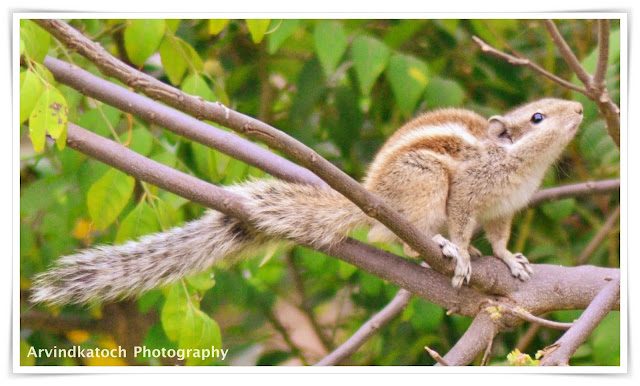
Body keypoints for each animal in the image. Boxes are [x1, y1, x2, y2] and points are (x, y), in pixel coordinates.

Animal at [31, 99, 584, 304]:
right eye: (537, 117)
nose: (580, 107)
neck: (519, 165)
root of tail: (370, 197)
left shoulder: (506, 209)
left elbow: (500, 237)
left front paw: (509, 259)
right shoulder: (467, 192)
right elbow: (465, 225)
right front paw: (465, 253)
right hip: (423, 184)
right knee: (391, 233)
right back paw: (435, 247)